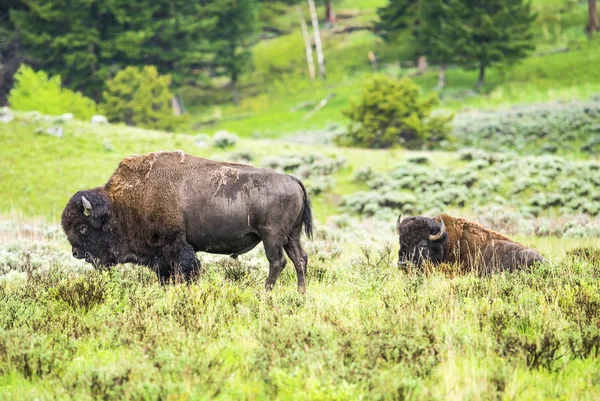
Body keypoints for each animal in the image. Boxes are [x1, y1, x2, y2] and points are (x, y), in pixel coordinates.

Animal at [61, 150, 314, 290]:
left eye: (82, 227)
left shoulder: (175, 246)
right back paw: (301, 292)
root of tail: (292, 179)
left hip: (272, 236)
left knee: (278, 262)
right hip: (291, 236)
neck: (120, 204)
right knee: (299, 259)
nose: (76, 253)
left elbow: (185, 271)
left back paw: (265, 292)